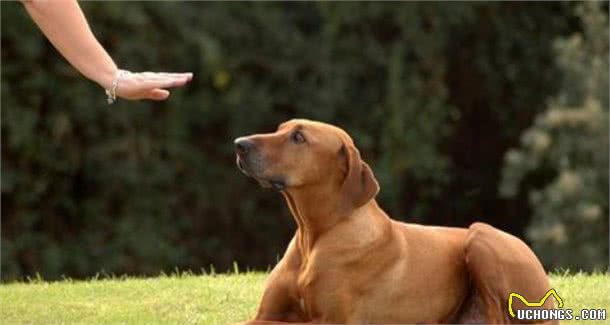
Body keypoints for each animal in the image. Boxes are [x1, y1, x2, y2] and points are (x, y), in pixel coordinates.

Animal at [233, 119, 556, 324]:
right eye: (279, 129)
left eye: (298, 137)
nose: (239, 144)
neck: (314, 236)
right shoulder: (267, 313)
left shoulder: (329, 322)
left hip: (481, 235)